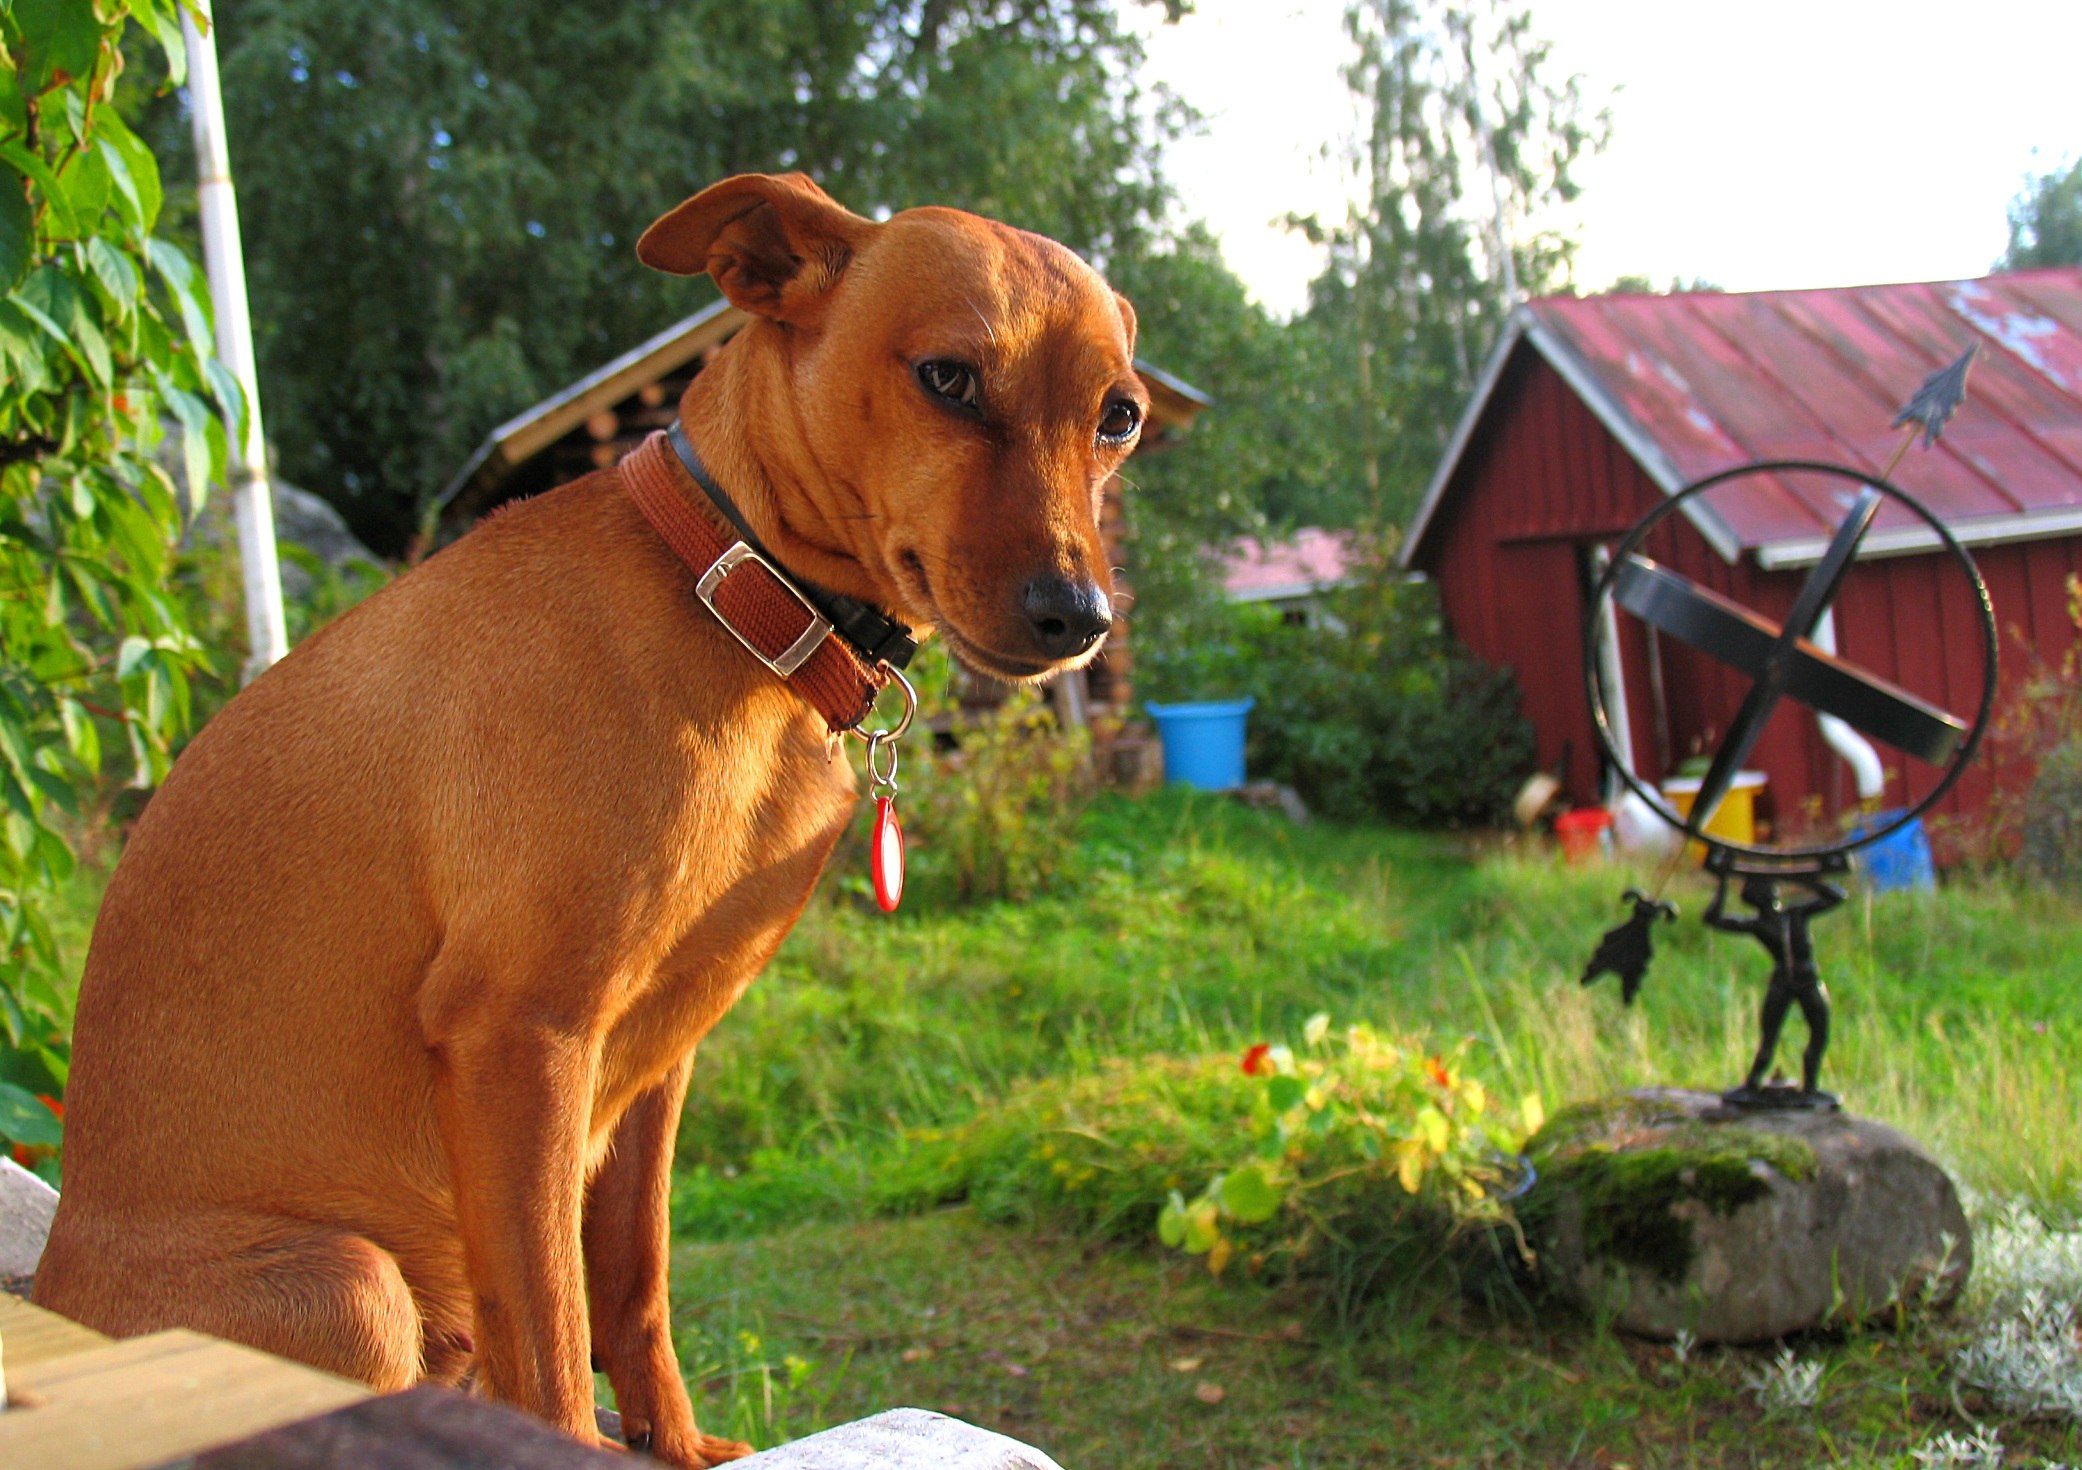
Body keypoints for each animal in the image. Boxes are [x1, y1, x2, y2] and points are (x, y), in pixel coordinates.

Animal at [32, 171, 1149, 1457]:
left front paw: (679, 1443)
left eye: (1119, 417)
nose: (1080, 617)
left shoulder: (657, 1058)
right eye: (948, 378)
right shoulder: (522, 1041)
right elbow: (556, 1346)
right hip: (349, 1285)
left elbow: (632, 1284)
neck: (729, 604)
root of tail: (51, 1283)